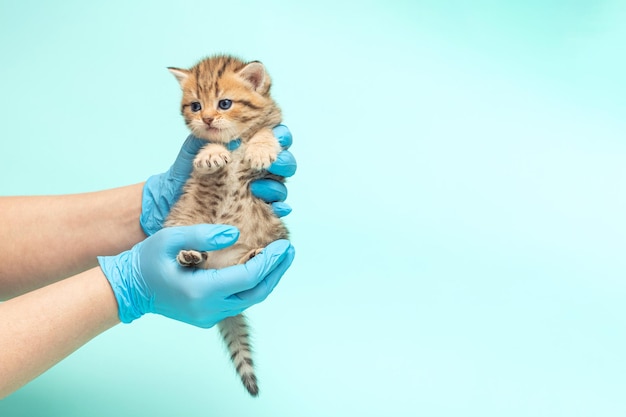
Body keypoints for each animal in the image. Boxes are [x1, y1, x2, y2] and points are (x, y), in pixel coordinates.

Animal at [162, 53, 286, 394]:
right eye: (195, 106)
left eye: (225, 103)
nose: (206, 119)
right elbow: (206, 149)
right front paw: (212, 153)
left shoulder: (277, 136)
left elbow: (266, 131)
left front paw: (261, 148)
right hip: (180, 221)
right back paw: (190, 256)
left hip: (275, 231)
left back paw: (253, 256)